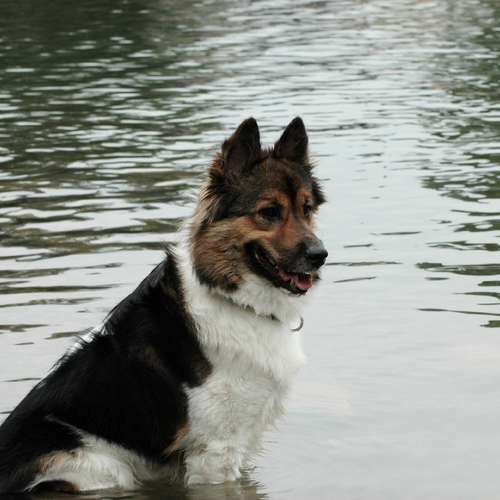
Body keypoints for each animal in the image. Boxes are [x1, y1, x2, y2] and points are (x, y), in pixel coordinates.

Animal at [0, 117, 327, 494]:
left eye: (306, 209)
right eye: (269, 212)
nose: (320, 255)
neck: (232, 297)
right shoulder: (215, 450)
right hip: (100, 464)